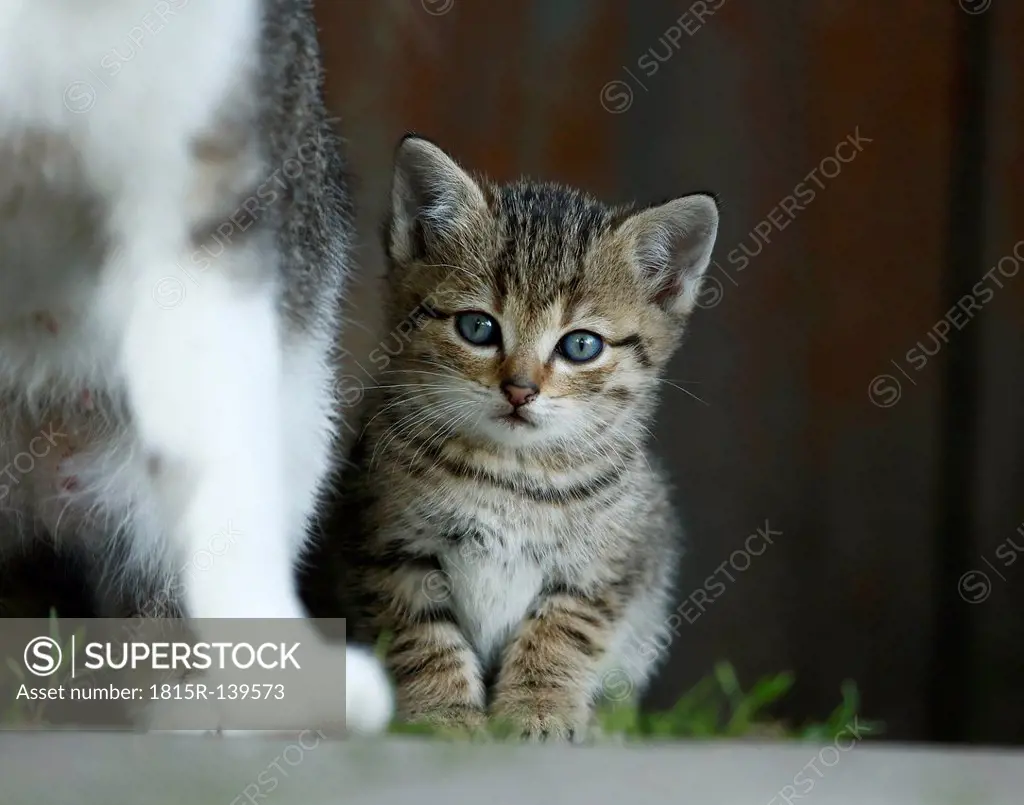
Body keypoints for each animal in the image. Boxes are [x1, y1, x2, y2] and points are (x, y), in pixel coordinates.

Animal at [307, 133, 716, 741]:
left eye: (580, 346)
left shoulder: (607, 566)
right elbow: (422, 637)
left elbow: (561, 634)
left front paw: (538, 709)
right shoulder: (385, 547)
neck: (510, 470)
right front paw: (444, 716)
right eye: (477, 327)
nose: (520, 389)